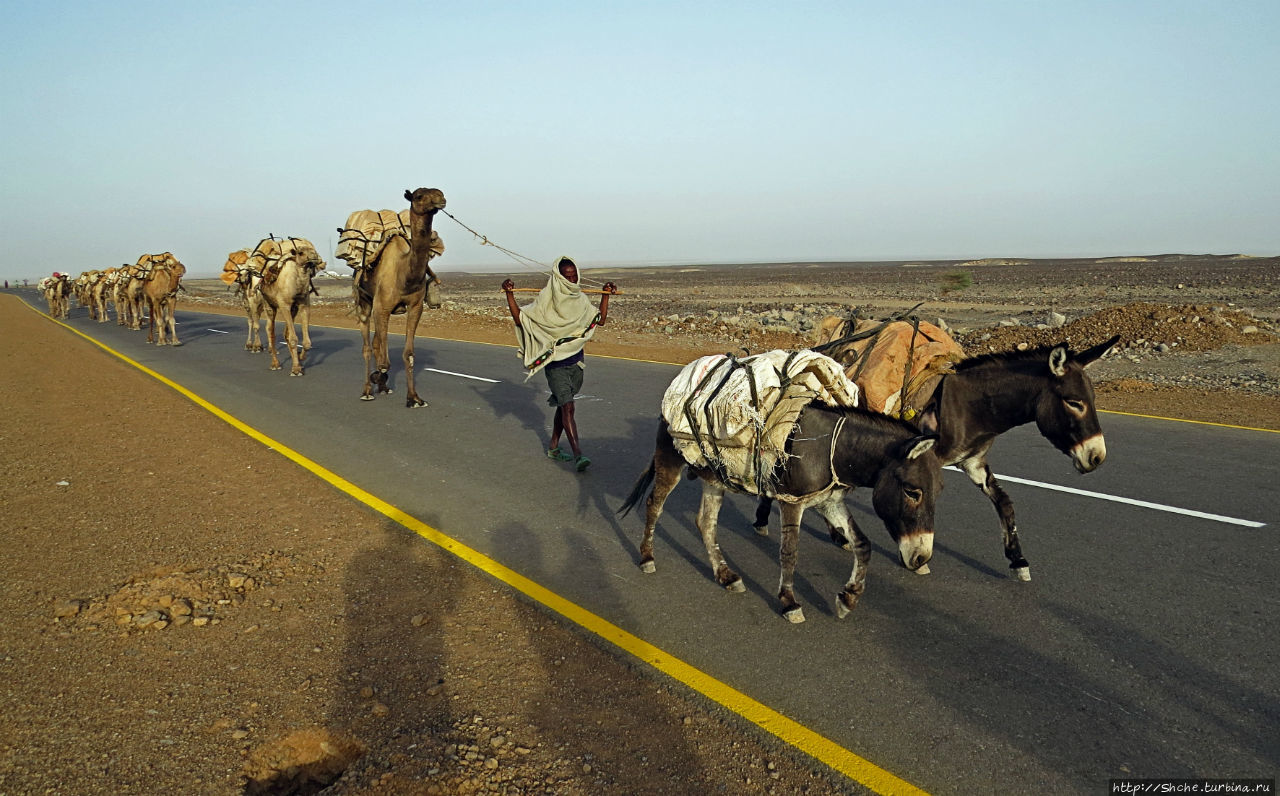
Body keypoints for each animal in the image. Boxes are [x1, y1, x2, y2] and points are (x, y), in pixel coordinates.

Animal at [245, 236, 322, 376]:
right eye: (301, 252)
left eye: (313, 250)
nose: (315, 257)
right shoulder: (284, 305)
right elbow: (293, 339)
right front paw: (296, 370)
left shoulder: (304, 305)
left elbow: (306, 342)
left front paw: (300, 359)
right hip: (268, 304)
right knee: (270, 330)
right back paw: (275, 364)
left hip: (293, 309)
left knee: (285, 333)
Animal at [353, 186, 448, 404]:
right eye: (419, 196)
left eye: (439, 191)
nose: (441, 199)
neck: (404, 274)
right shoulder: (382, 307)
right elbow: (384, 361)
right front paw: (377, 377)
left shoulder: (415, 307)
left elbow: (409, 354)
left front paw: (414, 398)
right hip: (364, 302)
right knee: (367, 347)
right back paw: (367, 390)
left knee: (376, 343)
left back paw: (382, 386)